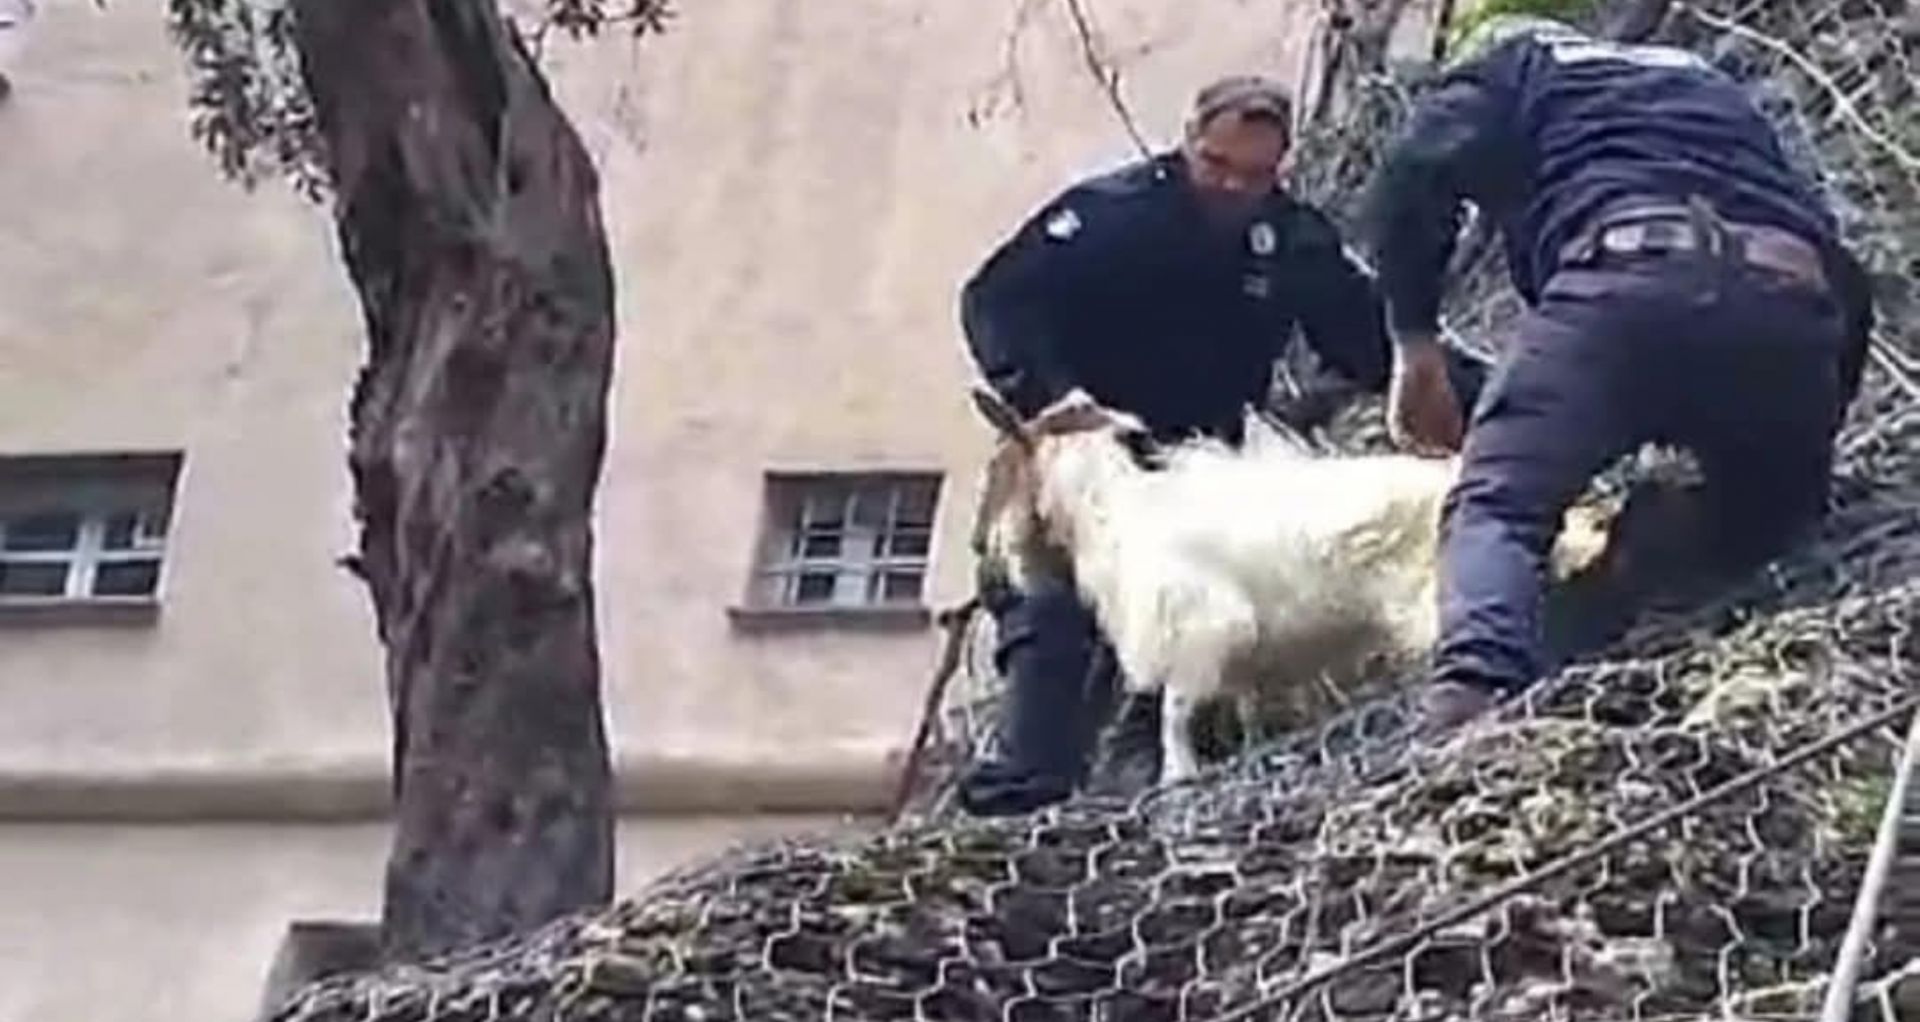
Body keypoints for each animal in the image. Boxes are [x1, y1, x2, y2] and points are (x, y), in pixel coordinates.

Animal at [967, 386, 1612, 783]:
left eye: (999, 466)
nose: (981, 548)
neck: (1113, 512)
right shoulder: (1246, 661)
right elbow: (1247, 708)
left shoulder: (1202, 631)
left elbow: (1175, 711)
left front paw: (1177, 774)